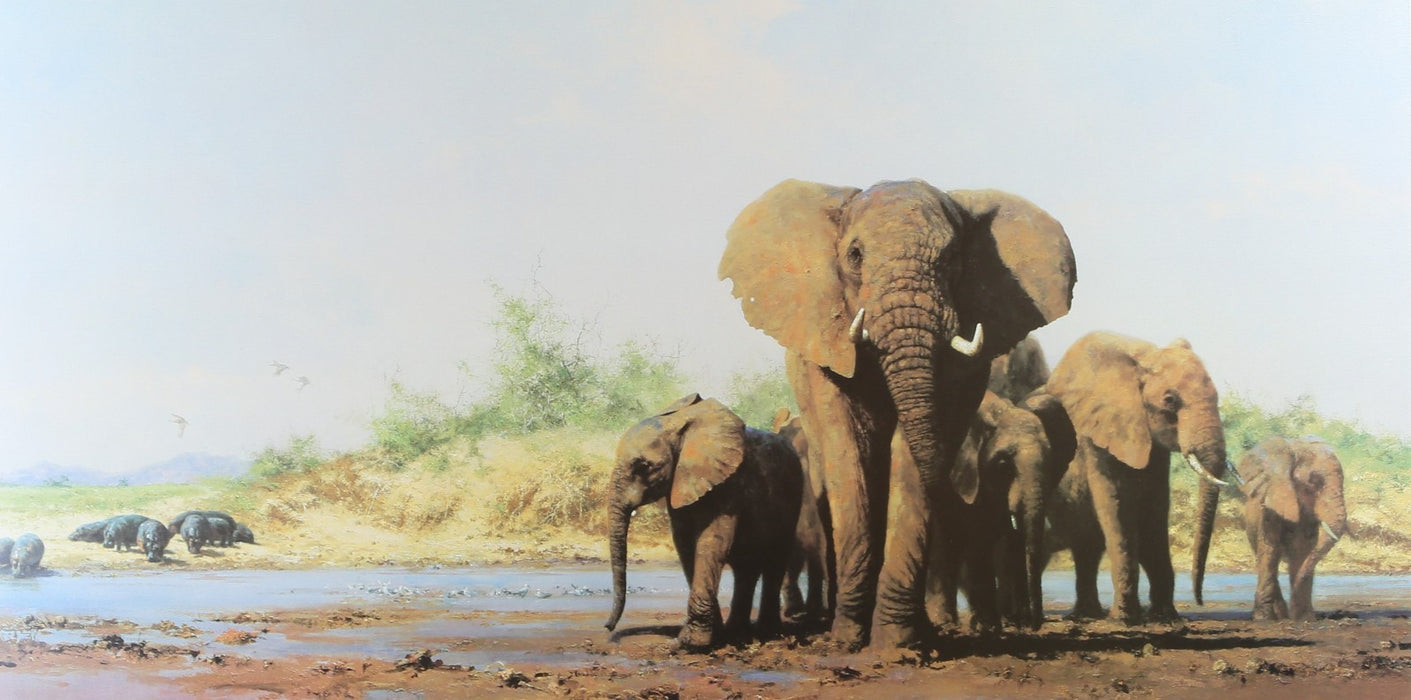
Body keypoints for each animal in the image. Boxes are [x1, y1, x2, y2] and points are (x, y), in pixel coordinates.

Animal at [605, 394, 803, 651]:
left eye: (644, 466)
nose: (608, 627)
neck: (680, 425)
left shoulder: (728, 483)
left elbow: (711, 541)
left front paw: (690, 643)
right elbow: (685, 544)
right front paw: (712, 636)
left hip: (793, 499)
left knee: (774, 561)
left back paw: (768, 633)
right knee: (746, 569)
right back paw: (737, 632)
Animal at [926, 391, 1075, 632]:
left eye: (1051, 465)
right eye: (1003, 465)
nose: (1036, 625)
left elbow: (1009, 540)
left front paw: (1010, 623)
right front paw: (988, 626)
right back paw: (947, 621)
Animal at [1043, 332, 1231, 624]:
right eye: (1169, 400)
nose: (1200, 601)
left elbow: (1155, 514)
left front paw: (1165, 617)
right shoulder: (1095, 440)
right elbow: (1118, 510)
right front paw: (1125, 619)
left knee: (1085, 546)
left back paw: (1086, 614)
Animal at [1239, 436, 1347, 621]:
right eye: (1314, 481)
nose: (1293, 614)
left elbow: (1301, 549)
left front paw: (1303, 619)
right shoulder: (1269, 507)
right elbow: (1269, 549)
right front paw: (1263, 619)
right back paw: (1277, 616)